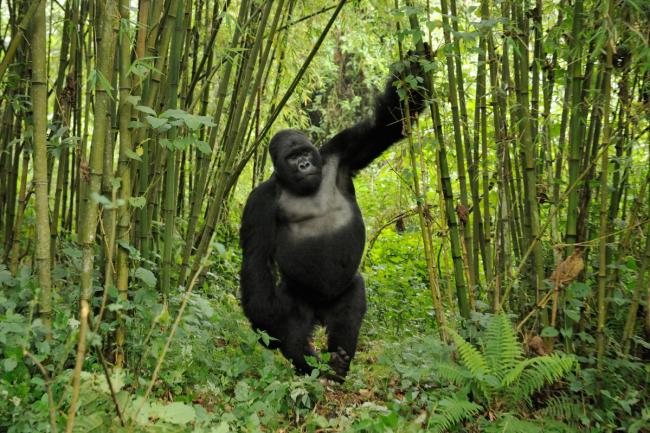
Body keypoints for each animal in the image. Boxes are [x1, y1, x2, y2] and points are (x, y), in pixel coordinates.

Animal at [238, 56, 426, 378]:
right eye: (291, 158)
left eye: (305, 152)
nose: (304, 164)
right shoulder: (259, 201)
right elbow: (256, 260)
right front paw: (268, 328)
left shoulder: (339, 151)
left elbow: (385, 125)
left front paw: (414, 68)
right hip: (297, 299)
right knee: (295, 331)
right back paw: (306, 360)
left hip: (345, 290)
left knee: (347, 315)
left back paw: (338, 360)